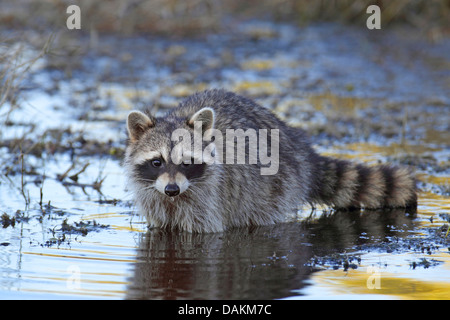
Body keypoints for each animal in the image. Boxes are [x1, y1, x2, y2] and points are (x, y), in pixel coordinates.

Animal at [124, 89, 418, 232]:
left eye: (187, 162)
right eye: (157, 162)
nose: (172, 189)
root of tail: (300, 148)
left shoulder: (210, 198)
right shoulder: (154, 196)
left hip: (273, 189)